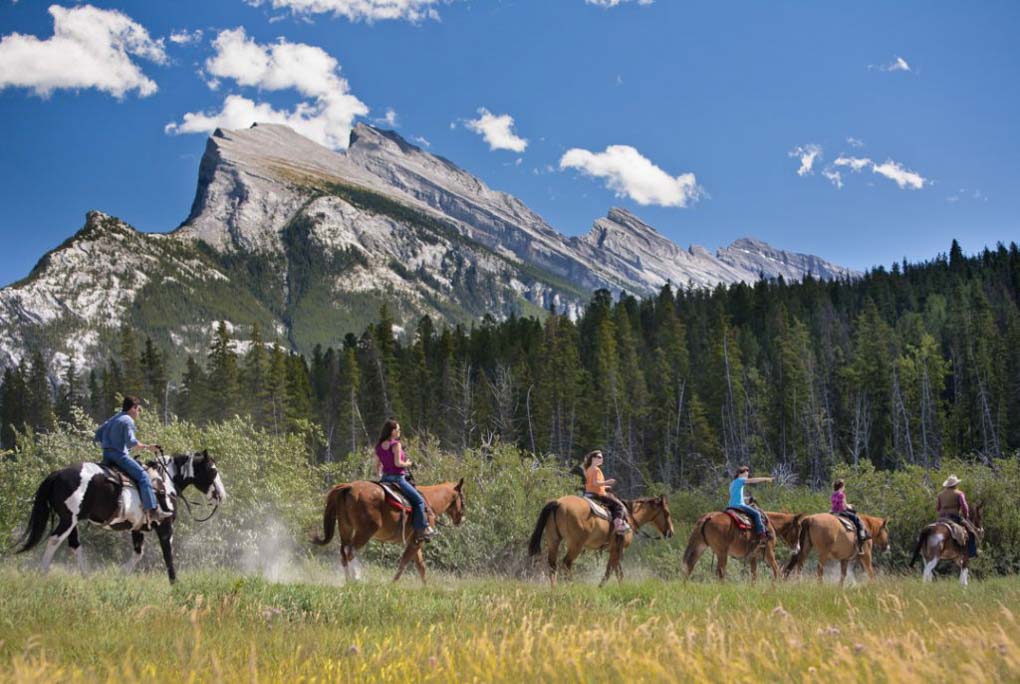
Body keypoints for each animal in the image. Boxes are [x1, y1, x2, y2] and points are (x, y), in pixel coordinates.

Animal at [15, 449, 226, 584]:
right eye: (213, 470)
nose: (221, 495)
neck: (166, 481)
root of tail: (57, 474)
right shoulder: (165, 526)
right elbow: (168, 555)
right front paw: (175, 582)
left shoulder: (137, 528)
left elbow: (138, 553)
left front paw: (120, 576)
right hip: (68, 520)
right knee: (54, 540)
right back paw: (43, 573)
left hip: (72, 522)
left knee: (74, 545)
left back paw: (86, 578)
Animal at [312, 479, 465, 584]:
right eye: (462, 499)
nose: (461, 518)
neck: (430, 502)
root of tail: (349, 487)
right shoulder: (418, 541)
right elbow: (404, 563)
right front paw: (392, 584)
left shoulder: (415, 540)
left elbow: (420, 566)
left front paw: (426, 587)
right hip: (365, 532)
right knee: (351, 552)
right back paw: (356, 578)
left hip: (346, 528)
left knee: (344, 554)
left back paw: (348, 580)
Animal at [528, 495, 674, 587]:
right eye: (667, 513)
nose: (671, 532)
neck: (630, 518)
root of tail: (558, 503)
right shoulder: (617, 550)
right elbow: (610, 571)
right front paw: (600, 587)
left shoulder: (615, 550)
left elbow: (618, 572)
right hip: (576, 545)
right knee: (566, 563)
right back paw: (571, 586)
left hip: (554, 540)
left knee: (552, 565)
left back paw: (554, 588)